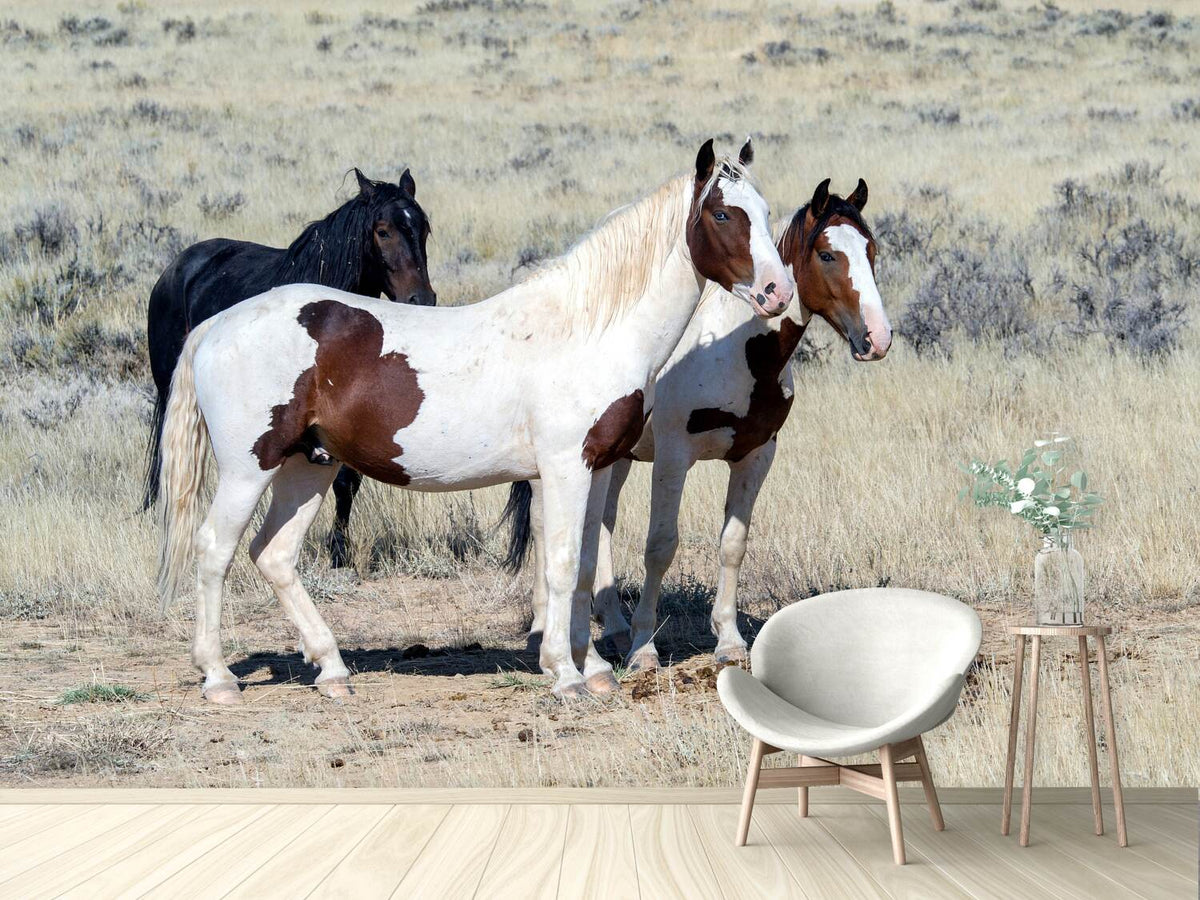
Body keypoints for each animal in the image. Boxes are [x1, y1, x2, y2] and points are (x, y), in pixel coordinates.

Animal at [143, 168, 436, 567]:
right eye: (383, 230)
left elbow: (348, 482)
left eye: (424, 228)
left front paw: (339, 551)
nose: (421, 299)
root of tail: (177, 267)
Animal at [507, 178, 890, 670]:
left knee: (602, 524)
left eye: (871, 249)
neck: (737, 351)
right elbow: (660, 546)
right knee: (542, 524)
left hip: (615, 458)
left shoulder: (756, 455)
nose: (878, 338)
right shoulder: (673, 457)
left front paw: (728, 639)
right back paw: (545, 630)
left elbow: (733, 544)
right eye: (827, 255)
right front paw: (644, 646)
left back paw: (612, 626)